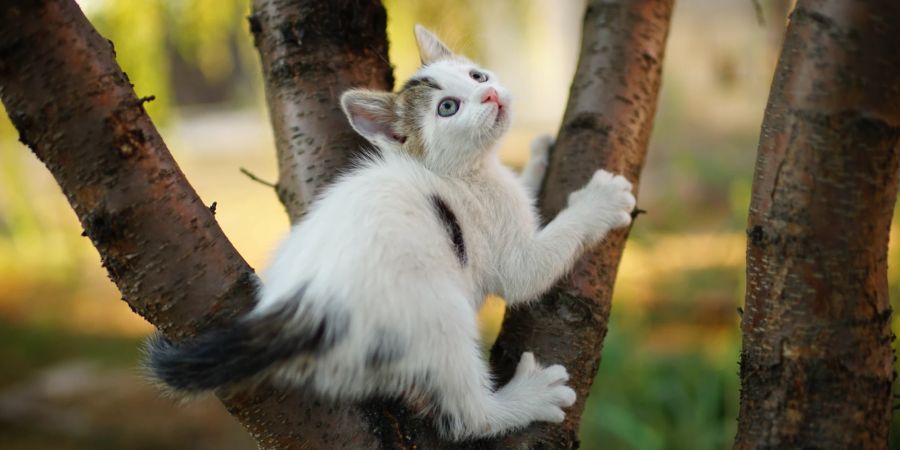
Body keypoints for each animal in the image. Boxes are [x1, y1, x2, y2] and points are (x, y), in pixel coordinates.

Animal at [148, 23, 636, 440]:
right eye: (448, 108)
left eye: (476, 75)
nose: (490, 93)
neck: (462, 171)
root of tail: (303, 304)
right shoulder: (507, 250)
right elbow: (531, 271)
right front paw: (600, 200)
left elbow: (527, 195)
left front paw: (538, 157)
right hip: (436, 312)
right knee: (466, 416)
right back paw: (529, 397)